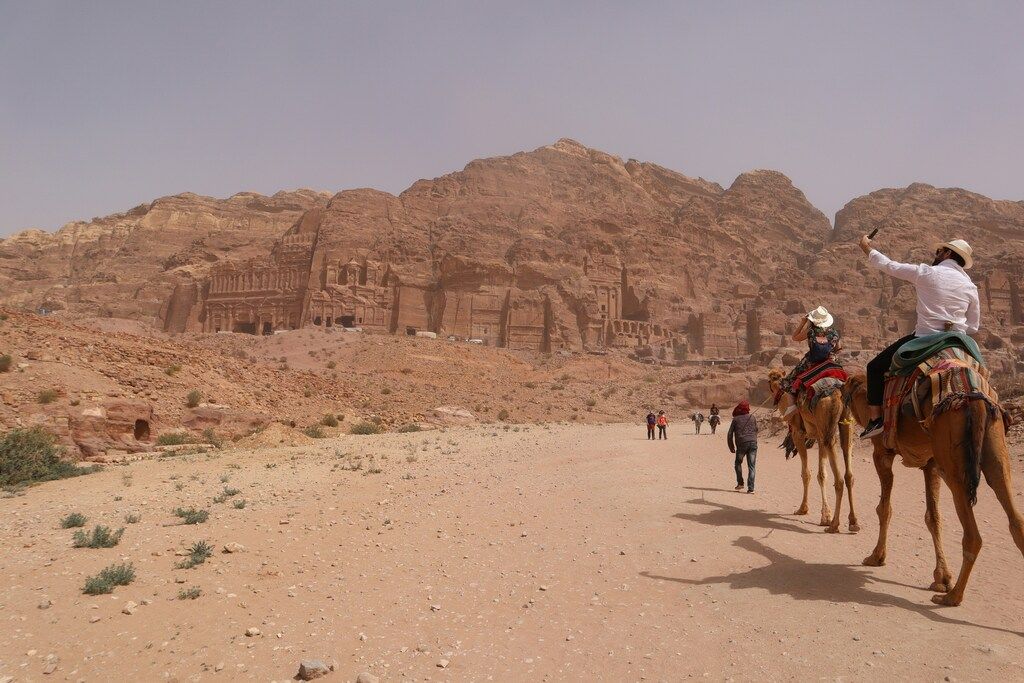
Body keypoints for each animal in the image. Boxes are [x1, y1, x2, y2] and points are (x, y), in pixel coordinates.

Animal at [770, 368, 856, 532]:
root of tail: (837, 393)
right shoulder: (818, 436)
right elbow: (822, 474)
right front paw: (825, 516)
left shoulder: (798, 433)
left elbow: (806, 473)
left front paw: (803, 509)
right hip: (845, 422)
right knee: (848, 470)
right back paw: (853, 522)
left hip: (827, 423)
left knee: (839, 479)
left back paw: (834, 525)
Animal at [843, 370, 1019, 606]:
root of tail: (975, 401)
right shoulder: (931, 463)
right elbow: (933, 517)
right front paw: (942, 577)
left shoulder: (881, 452)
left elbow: (884, 509)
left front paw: (876, 556)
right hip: (994, 450)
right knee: (1014, 515)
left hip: (954, 464)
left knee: (973, 534)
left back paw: (952, 597)